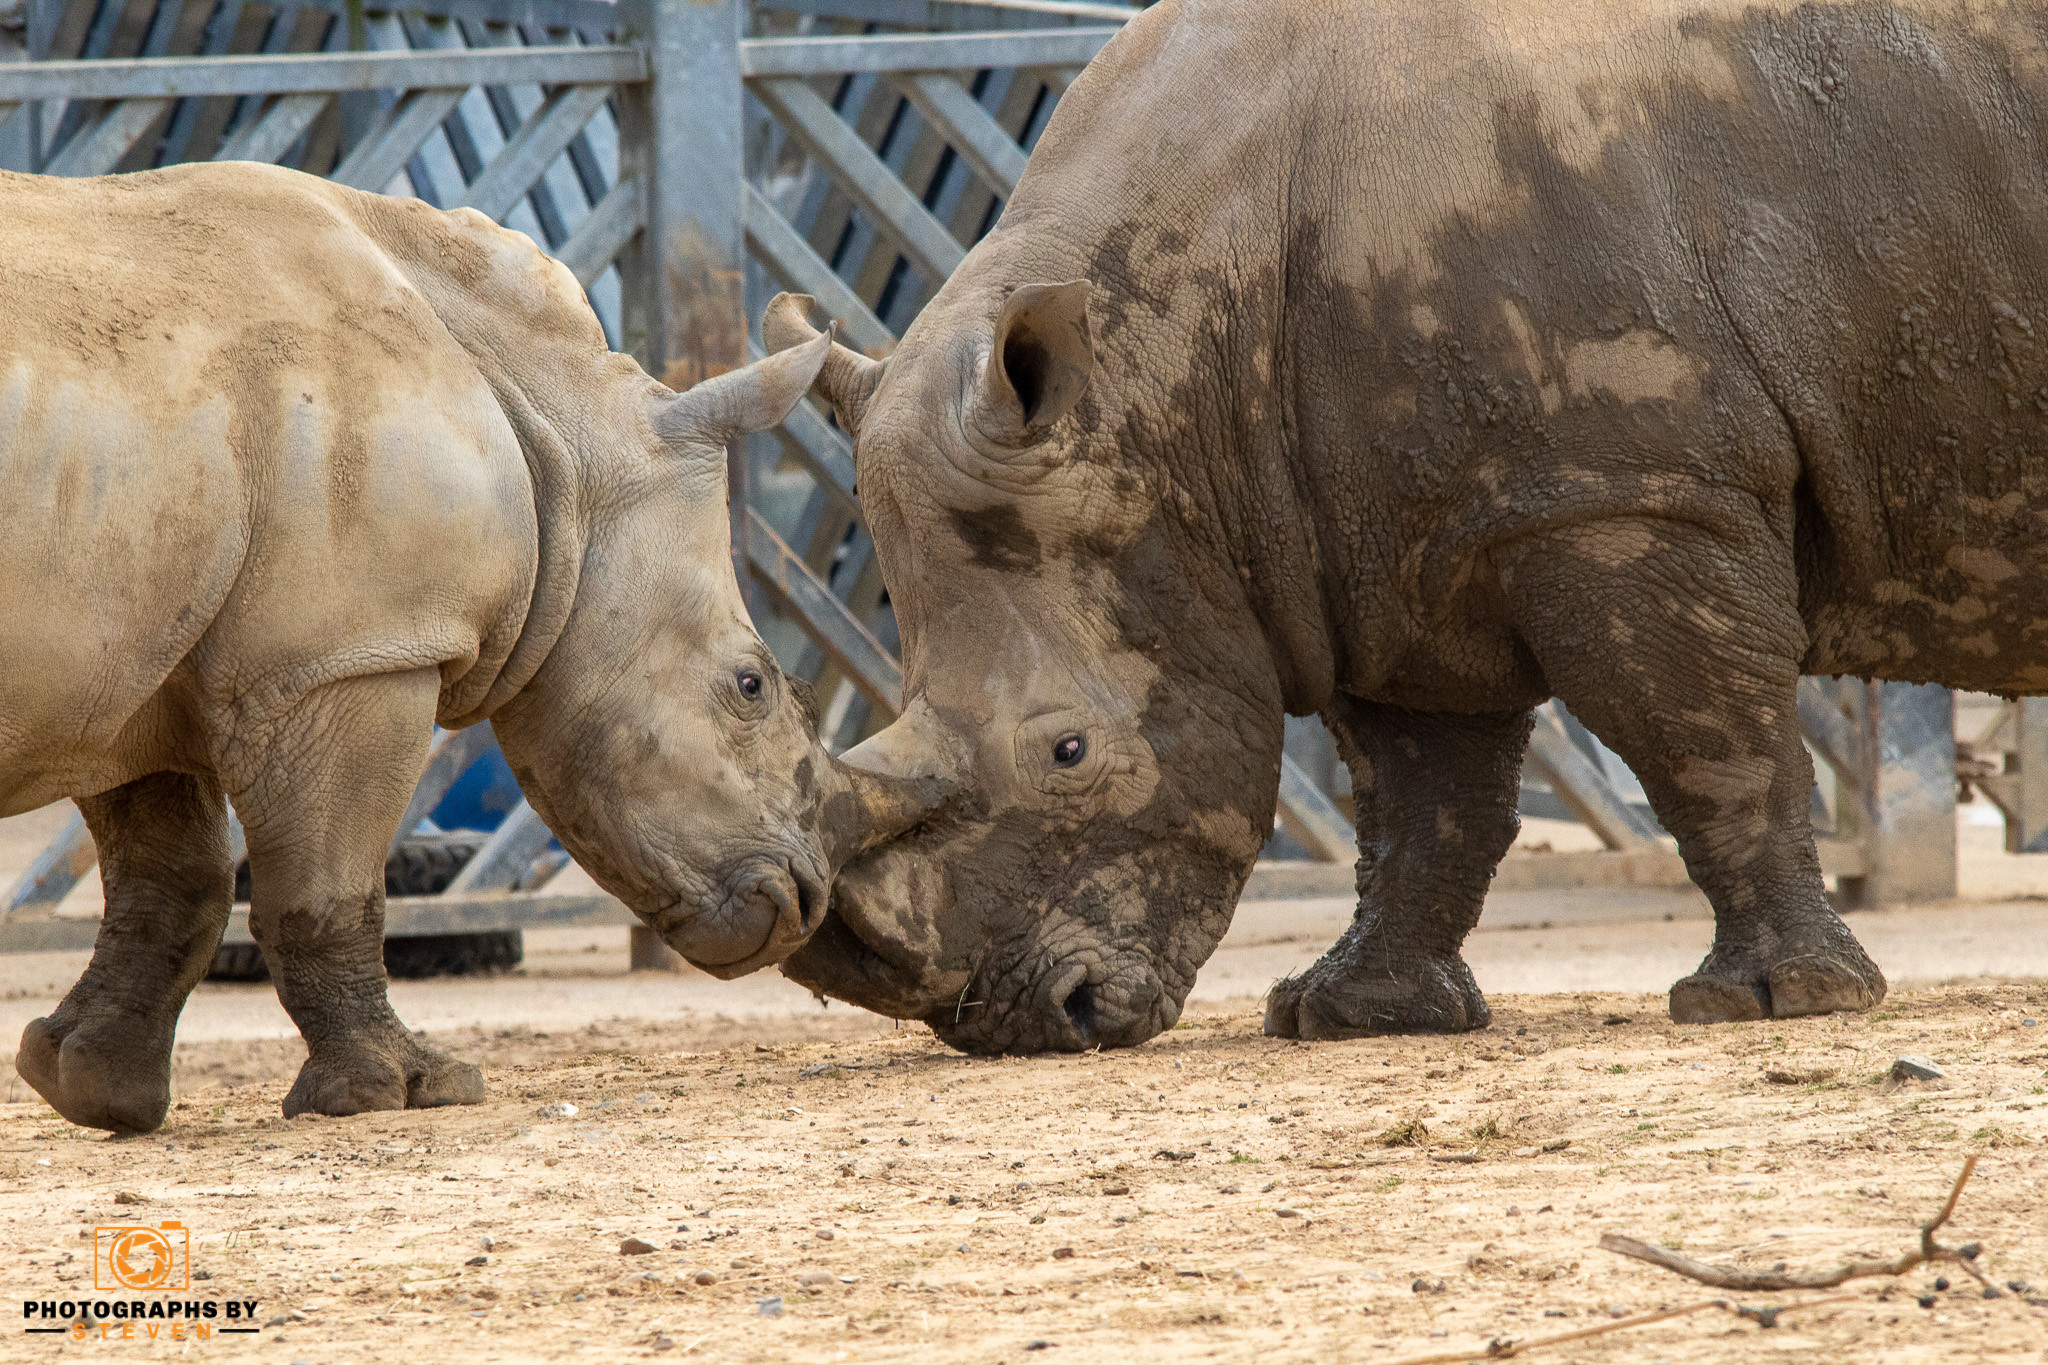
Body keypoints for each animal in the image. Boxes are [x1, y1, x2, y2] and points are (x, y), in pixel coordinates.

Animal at [0, 162, 944, 1134]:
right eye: (751, 685)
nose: (801, 904)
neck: (560, 440)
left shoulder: (136, 658)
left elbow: (172, 880)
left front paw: (87, 1085)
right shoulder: (353, 655)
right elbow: (328, 885)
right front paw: (402, 1090)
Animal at [763, 0, 2048, 1052]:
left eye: (1068, 752)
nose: (1018, 1022)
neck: (1158, 370)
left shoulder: (1621, 492)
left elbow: (1706, 741)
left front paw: (1778, 1003)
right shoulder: (1369, 541)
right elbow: (1418, 797)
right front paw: (1350, 1016)